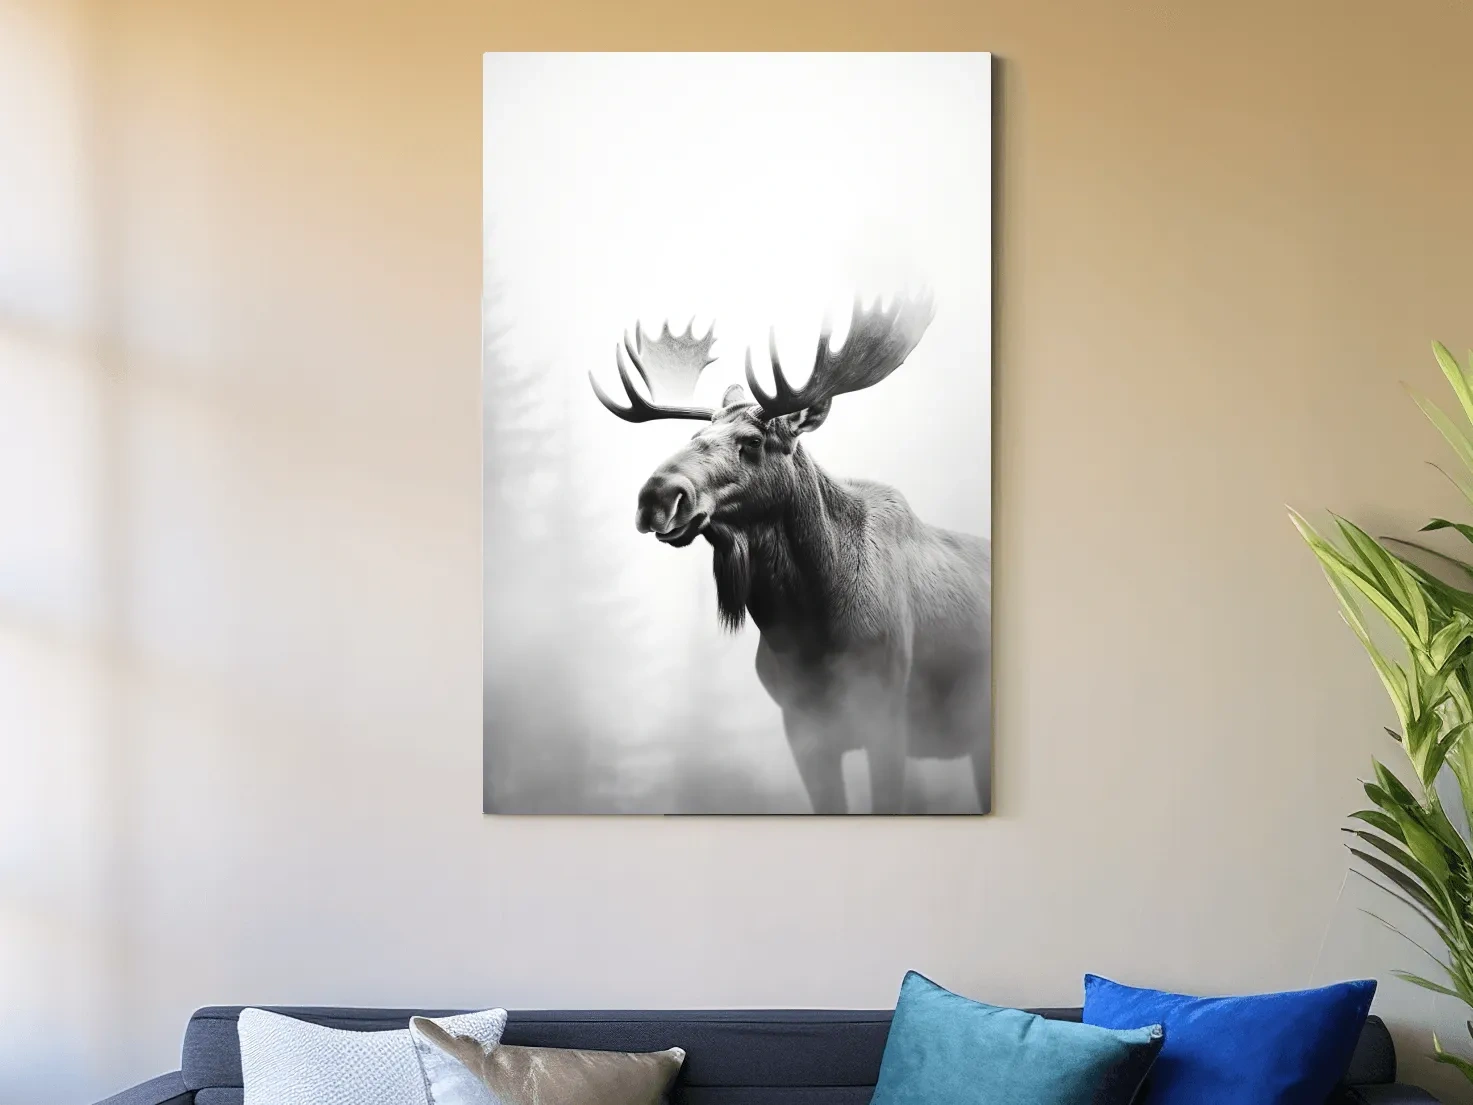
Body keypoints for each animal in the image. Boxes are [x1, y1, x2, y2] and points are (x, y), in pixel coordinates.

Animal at [589, 293, 991, 815]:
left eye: (753, 440)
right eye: (693, 438)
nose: (657, 496)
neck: (809, 627)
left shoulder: (887, 719)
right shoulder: (803, 729)